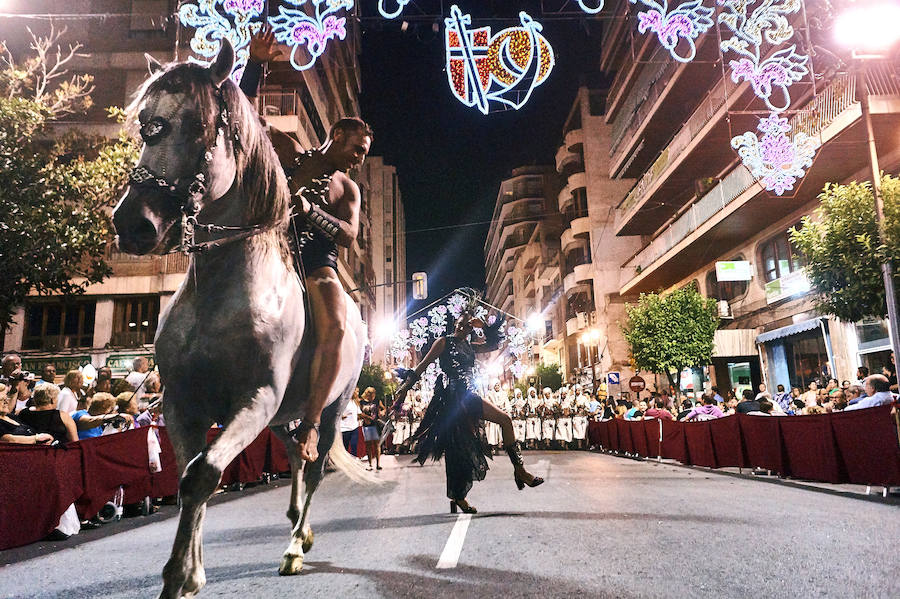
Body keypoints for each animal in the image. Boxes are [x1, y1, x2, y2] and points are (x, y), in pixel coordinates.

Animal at [113, 39, 372, 596]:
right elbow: (189, 475)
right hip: (282, 417)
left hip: (332, 406)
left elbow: (202, 475)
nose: (133, 224)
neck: (220, 291)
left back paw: (295, 544)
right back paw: (299, 527)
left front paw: (181, 574)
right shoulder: (184, 404)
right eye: (145, 124)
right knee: (295, 453)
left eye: (196, 125)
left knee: (314, 461)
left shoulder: (255, 398)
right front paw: (190, 569)